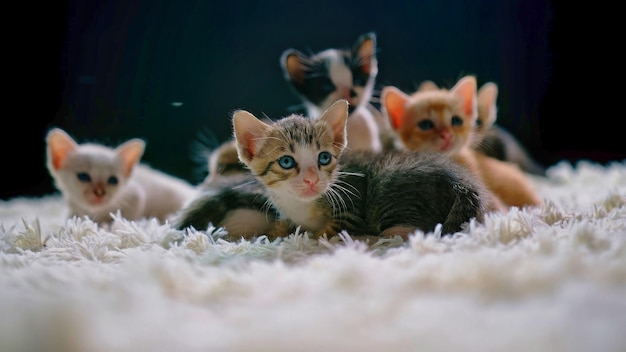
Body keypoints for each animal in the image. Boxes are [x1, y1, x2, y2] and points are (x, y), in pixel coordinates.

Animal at [45, 128, 196, 224]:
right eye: (83, 177)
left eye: (113, 180)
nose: (99, 192)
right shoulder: (74, 206)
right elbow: (72, 218)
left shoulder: (135, 196)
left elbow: (126, 219)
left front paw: (112, 227)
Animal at [229, 97, 492, 238]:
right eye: (286, 162)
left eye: (324, 158)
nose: (312, 179)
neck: (301, 206)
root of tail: (462, 181)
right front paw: (275, 231)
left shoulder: (351, 206)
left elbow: (325, 233)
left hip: (388, 186)